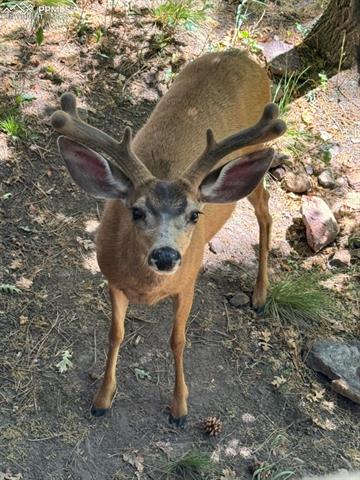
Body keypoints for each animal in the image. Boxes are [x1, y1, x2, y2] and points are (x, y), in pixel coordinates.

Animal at [51, 50, 286, 426]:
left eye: (194, 214)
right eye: (135, 211)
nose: (165, 256)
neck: (148, 290)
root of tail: (240, 54)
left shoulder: (188, 282)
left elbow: (178, 339)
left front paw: (180, 407)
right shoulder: (111, 278)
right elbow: (115, 333)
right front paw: (102, 398)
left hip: (258, 156)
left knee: (265, 209)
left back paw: (260, 294)